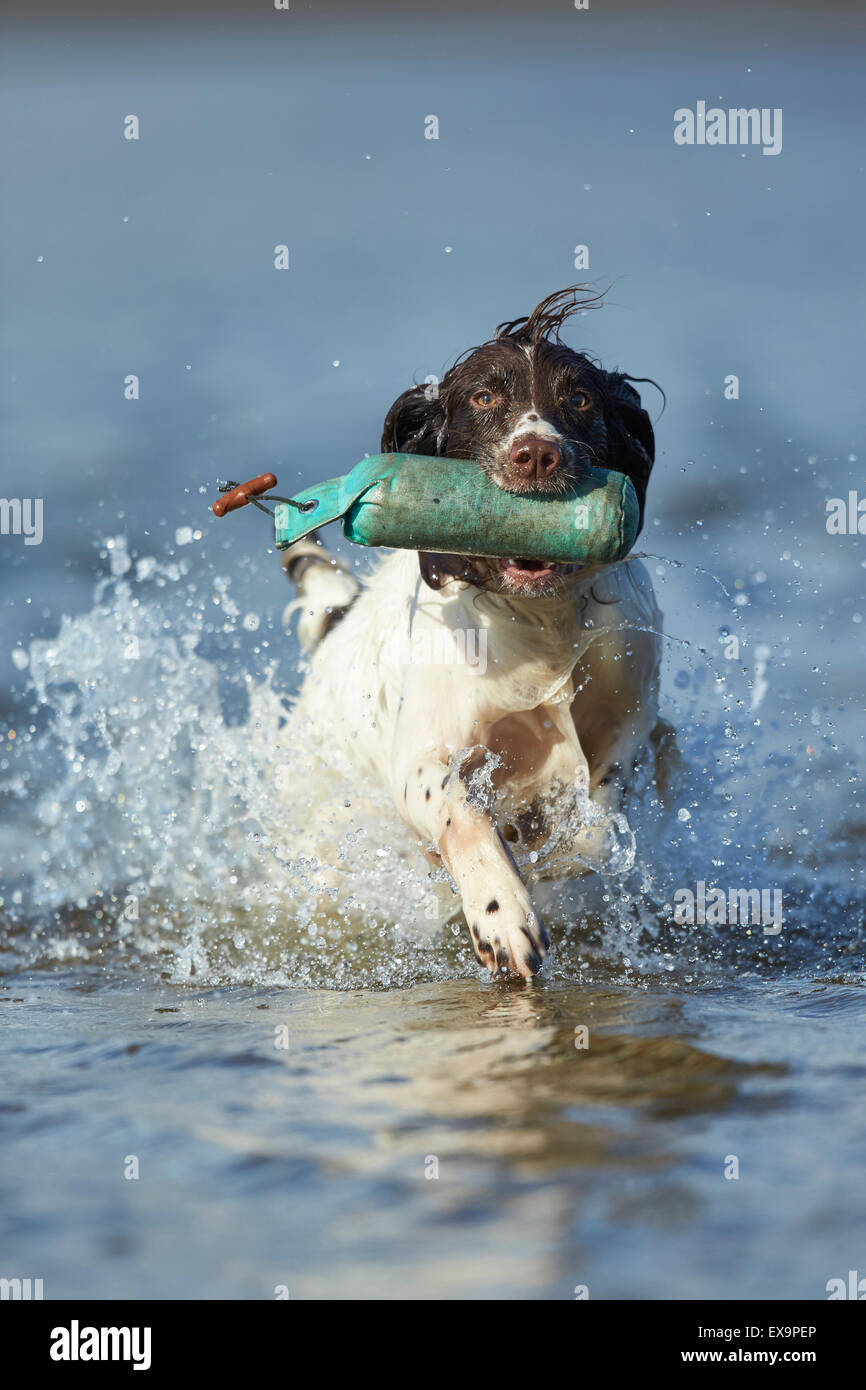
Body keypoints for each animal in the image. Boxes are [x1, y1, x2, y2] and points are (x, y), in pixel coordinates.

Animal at [280, 287, 675, 978]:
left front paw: (559, 867)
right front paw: (502, 912)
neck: (540, 621)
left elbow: (595, 828)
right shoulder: (422, 755)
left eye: (580, 399)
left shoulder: (628, 719)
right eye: (484, 398)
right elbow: (461, 813)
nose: (536, 453)